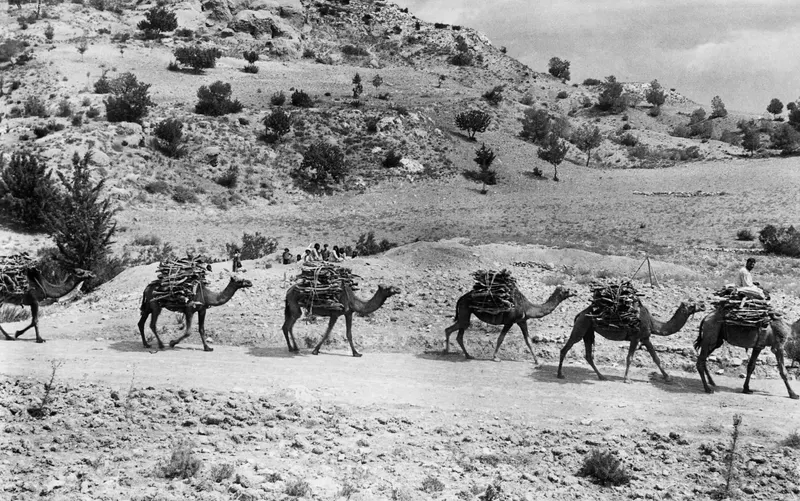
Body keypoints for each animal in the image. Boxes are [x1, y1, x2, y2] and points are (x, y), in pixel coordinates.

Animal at [443, 285, 577, 362]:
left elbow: (528, 341)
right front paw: (495, 358)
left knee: (459, 333)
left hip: (465, 313)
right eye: (567, 290)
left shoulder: (522, 321)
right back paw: (448, 351)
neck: (527, 307)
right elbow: (500, 338)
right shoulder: (510, 321)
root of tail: (461, 298)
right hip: (465, 310)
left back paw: (467, 355)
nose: (575, 292)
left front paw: (537, 362)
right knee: (453, 329)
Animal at [557, 299, 705, 382]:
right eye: (692, 305)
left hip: (588, 331)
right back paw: (560, 374)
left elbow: (656, 358)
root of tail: (580, 314)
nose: (703, 305)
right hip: (581, 327)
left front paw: (668, 377)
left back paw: (602, 376)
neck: (653, 323)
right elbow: (629, 358)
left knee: (588, 355)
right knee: (565, 348)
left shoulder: (645, 338)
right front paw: (627, 379)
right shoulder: (635, 337)